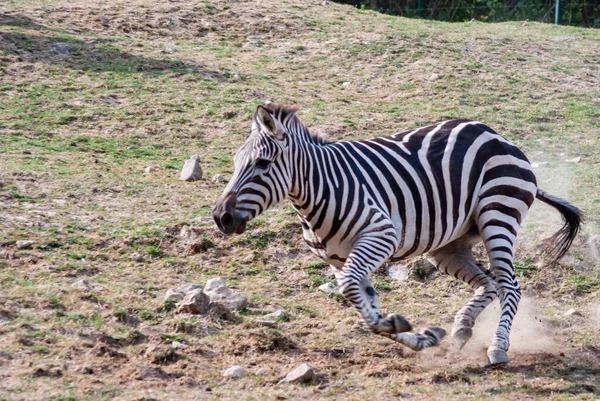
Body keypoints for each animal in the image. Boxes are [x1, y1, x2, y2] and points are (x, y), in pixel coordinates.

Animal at [212, 104, 580, 366]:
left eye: (262, 164)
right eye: (236, 161)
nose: (220, 217)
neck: (320, 189)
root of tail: (496, 135)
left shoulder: (380, 236)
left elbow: (354, 293)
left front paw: (400, 328)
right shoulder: (339, 260)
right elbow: (365, 305)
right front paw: (411, 333)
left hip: (498, 215)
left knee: (509, 285)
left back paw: (498, 347)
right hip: (449, 244)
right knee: (488, 283)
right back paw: (462, 328)